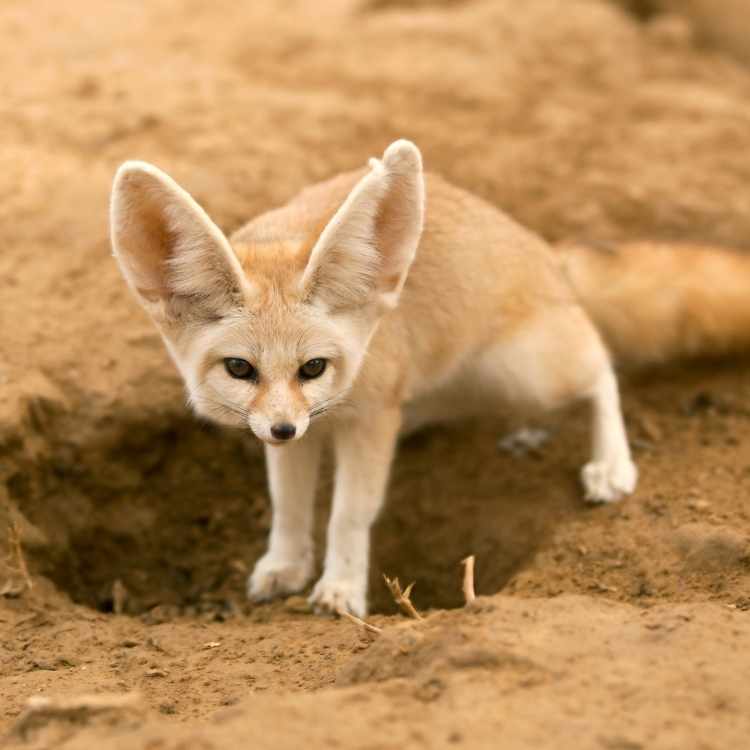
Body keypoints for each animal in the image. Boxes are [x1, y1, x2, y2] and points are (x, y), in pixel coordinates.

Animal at [110, 140, 750, 616]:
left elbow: (349, 513)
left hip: (526, 370)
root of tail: (546, 252)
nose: (284, 430)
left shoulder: (368, 420)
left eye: (313, 367)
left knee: (600, 367)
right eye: (240, 369)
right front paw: (287, 565)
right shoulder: (300, 430)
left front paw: (340, 589)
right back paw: (526, 431)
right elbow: (288, 505)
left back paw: (611, 464)